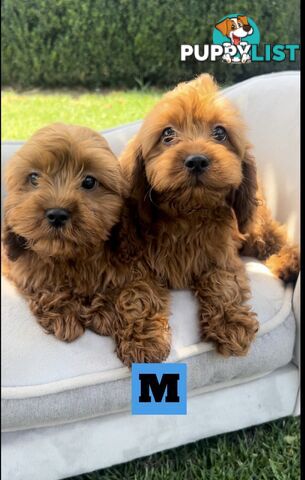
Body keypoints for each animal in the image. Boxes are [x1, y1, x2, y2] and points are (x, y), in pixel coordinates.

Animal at [2, 123, 127, 342]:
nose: (57, 214)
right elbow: (42, 284)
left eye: (89, 182)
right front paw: (64, 314)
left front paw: (106, 310)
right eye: (34, 177)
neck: (67, 256)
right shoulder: (21, 268)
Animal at [117, 75, 298, 358]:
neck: (187, 212)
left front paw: (230, 322)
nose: (197, 160)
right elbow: (139, 296)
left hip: (252, 224)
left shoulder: (223, 255)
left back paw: (288, 261)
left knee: (272, 237)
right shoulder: (133, 265)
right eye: (167, 134)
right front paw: (143, 339)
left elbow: (224, 282)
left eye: (220, 133)